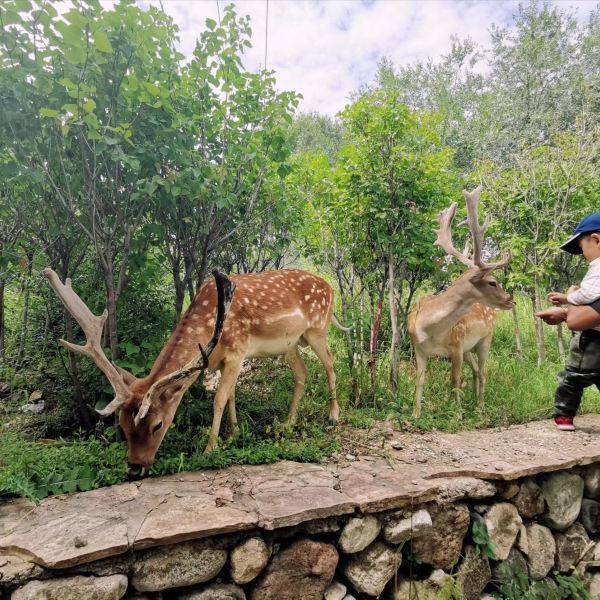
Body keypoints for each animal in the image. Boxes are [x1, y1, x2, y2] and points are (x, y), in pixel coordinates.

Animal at [44, 268, 340, 478]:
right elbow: (231, 395)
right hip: (291, 344)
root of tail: (330, 287)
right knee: (302, 372)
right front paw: (235, 433)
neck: (211, 323)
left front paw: (210, 449)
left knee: (330, 363)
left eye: (157, 424)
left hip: (317, 329)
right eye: (124, 425)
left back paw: (333, 415)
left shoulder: (237, 351)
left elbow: (219, 398)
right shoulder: (223, 361)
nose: (134, 467)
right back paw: (287, 423)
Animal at [410, 186, 512, 418]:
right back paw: (474, 402)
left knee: (483, 372)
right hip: (469, 349)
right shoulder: (419, 348)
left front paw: (456, 413)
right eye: (493, 282)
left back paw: (480, 407)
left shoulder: (456, 345)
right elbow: (420, 381)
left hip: (485, 339)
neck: (429, 329)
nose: (511, 299)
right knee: (475, 369)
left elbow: (454, 379)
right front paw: (415, 414)